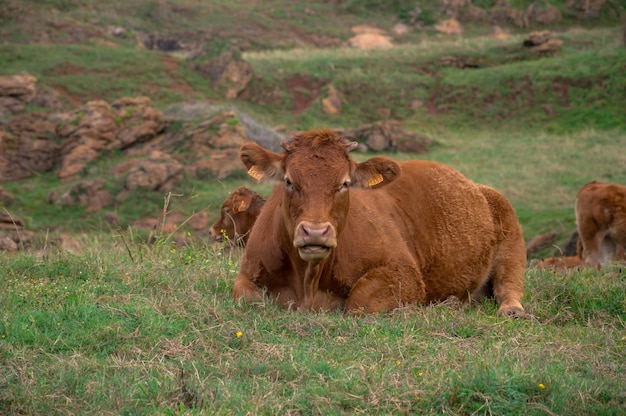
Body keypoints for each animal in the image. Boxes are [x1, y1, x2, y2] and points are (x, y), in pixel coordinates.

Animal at [232, 128, 524, 316]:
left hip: (511, 240)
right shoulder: (247, 272)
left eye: (344, 183)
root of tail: (476, 185)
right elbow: (247, 298)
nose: (315, 232)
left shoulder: (404, 273)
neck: (308, 285)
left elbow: (358, 304)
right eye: (289, 181)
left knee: (509, 285)